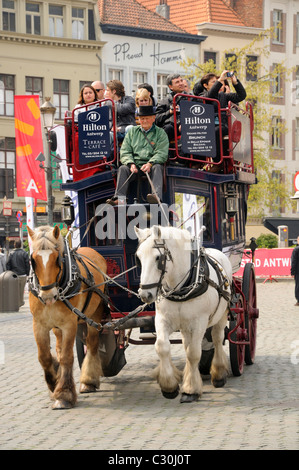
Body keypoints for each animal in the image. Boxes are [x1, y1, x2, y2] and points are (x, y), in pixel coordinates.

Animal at [27, 224, 108, 408]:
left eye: (57, 258)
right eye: (33, 260)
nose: (48, 296)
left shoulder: (69, 324)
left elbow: (66, 357)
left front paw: (63, 393)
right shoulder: (39, 324)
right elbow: (44, 357)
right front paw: (53, 383)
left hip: (95, 314)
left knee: (92, 343)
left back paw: (89, 380)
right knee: (58, 346)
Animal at [135, 226, 233, 402]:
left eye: (158, 258)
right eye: (138, 257)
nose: (145, 294)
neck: (183, 286)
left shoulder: (200, 322)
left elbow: (194, 353)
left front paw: (190, 390)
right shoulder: (162, 320)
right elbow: (162, 347)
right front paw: (169, 386)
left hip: (221, 315)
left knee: (216, 338)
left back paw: (219, 374)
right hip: (185, 326)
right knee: (187, 344)